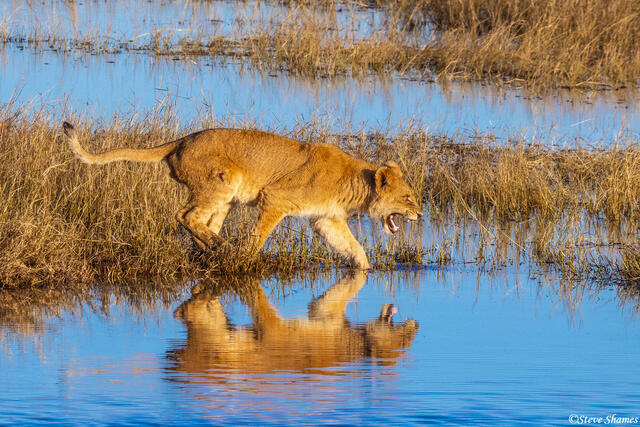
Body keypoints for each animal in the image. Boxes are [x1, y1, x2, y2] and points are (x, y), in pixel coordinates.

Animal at [62, 122, 423, 268]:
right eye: (408, 198)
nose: (420, 215)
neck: (354, 183)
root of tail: (181, 140)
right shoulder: (275, 198)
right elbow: (258, 236)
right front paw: (247, 260)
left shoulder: (326, 219)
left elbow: (352, 246)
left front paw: (366, 270)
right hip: (223, 180)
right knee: (184, 215)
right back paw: (222, 248)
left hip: (225, 197)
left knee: (202, 221)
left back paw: (210, 249)